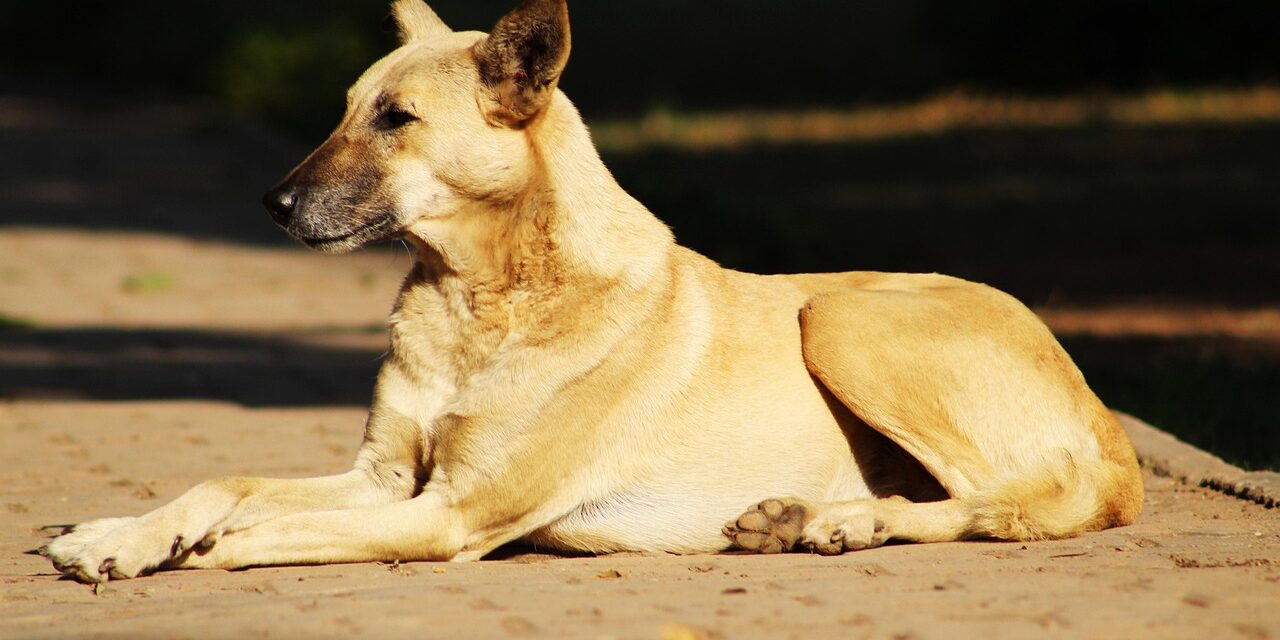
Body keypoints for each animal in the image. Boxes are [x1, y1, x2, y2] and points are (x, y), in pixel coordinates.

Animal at [42, 0, 1141, 583]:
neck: (479, 299)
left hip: (839, 314)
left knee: (1018, 500)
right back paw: (811, 518)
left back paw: (845, 522)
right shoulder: (383, 478)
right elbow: (222, 482)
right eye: (347, 109)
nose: (270, 204)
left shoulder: (445, 514)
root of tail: (1112, 429)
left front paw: (188, 546)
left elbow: (258, 529)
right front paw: (120, 533)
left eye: (397, 119)